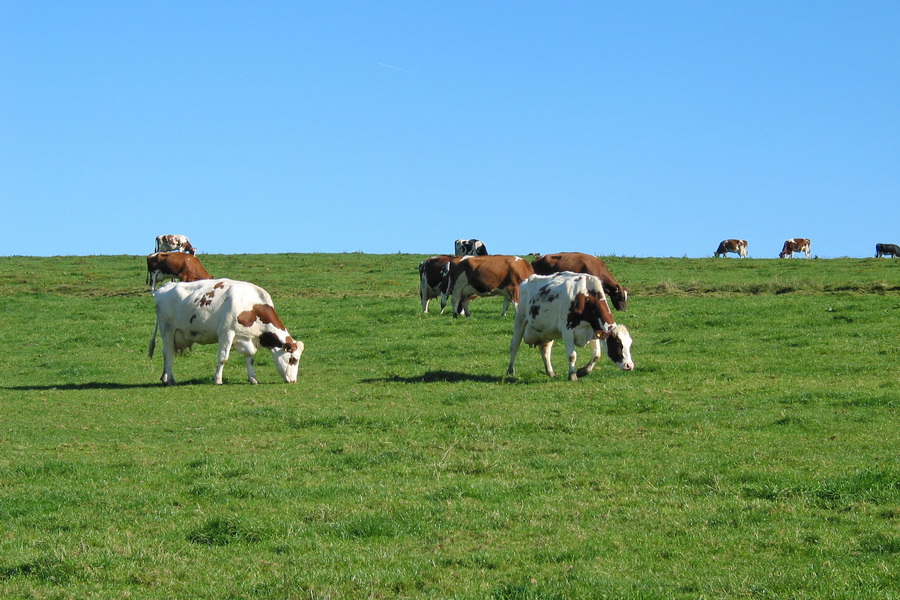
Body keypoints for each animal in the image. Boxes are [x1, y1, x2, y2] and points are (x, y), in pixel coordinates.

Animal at [146, 280, 304, 386]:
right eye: (293, 359)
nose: (293, 380)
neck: (252, 307)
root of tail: (165, 286)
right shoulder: (226, 332)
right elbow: (223, 358)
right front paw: (218, 379)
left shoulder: (248, 338)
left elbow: (250, 358)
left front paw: (253, 379)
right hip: (167, 329)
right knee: (168, 353)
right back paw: (171, 379)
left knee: (167, 353)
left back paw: (165, 377)